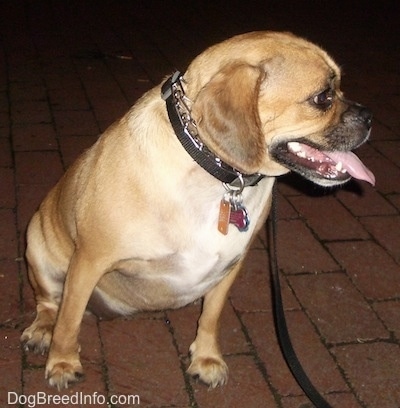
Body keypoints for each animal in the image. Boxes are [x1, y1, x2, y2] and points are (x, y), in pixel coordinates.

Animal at [20, 31, 374, 388]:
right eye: (323, 98)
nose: (370, 117)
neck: (214, 169)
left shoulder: (230, 266)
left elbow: (211, 317)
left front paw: (206, 358)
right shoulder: (89, 261)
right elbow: (68, 322)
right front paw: (62, 362)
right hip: (39, 249)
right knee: (49, 303)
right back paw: (42, 331)